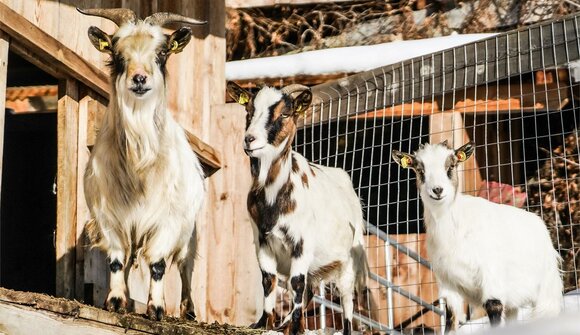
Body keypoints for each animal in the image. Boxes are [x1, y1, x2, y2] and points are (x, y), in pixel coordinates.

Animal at [79, 7, 206, 322]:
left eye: (162, 53)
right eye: (117, 54)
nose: (139, 79)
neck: (139, 167)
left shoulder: (168, 221)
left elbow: (158, 264)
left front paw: (157, 308)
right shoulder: (109, 216)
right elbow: (115, 260)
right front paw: (115, 301)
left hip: (190, 233)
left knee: (185, 267)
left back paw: (188, 311)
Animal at [227, 82, 368, 335]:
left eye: (284, 114)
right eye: (249, 111)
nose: (249, 139)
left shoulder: (302, 244)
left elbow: (296, 283)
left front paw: (294, 327)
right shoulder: (262, 241)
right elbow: (269, 280)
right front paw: (265, 322)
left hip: (350, 260)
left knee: (346, 299)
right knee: (310, 288)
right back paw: (285, 323)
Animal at [392, 142, 560, 330]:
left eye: (451, 166)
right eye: (420, 170)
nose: (437, 190)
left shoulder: (491, 276)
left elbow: (494, 309)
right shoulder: (447, 282)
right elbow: (451, 319)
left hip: (547, 289)